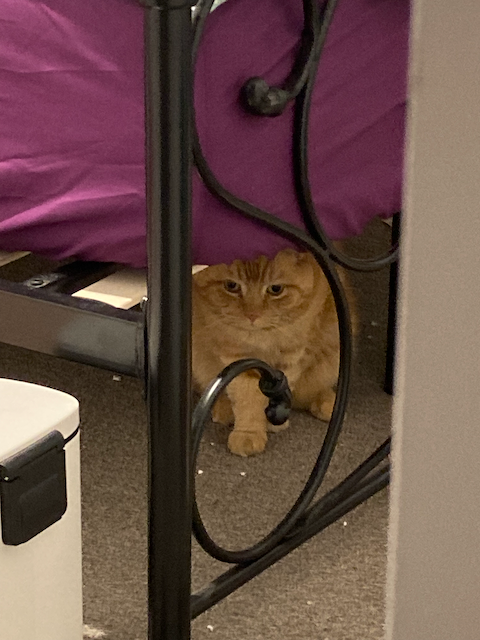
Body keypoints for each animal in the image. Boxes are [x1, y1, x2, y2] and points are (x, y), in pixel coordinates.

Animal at [192, 249, 356, 456]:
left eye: (276, 289)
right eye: (231, 286)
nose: (252, 315)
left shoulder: (290, 356)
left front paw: (273, 421)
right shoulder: (237, 357)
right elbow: (246, 397)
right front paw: (249, 432)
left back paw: (326, 402)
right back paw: (223, 408)